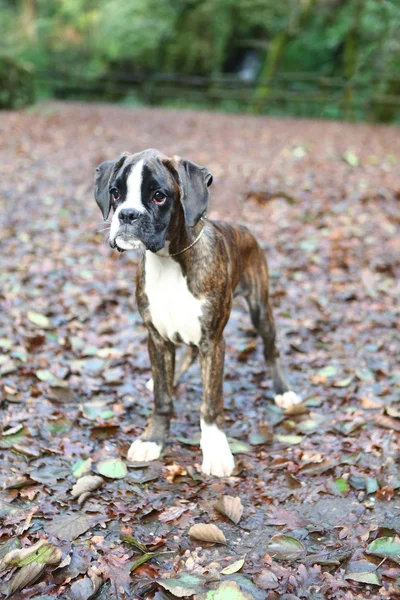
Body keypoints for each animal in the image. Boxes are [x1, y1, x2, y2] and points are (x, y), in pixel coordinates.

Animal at [94, 149, 300, 478]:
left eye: (159, 196)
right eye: (115, 193)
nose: (127, 214)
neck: (169, 260)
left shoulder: (213, 342)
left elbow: (210, 403)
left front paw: (215, 450)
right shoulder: (157, 338)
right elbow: (162, 397)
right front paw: (153, 438)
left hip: (260, 307)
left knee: (271, 347)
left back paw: (284, 390)